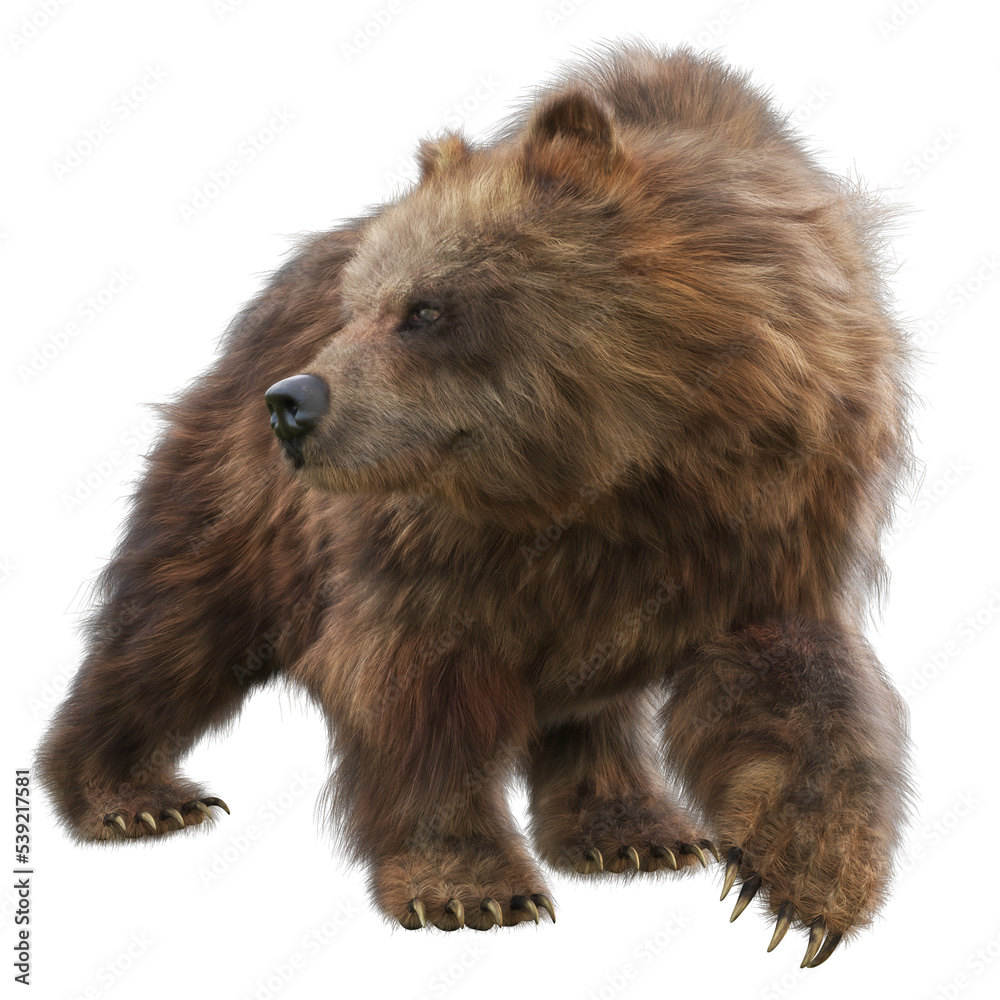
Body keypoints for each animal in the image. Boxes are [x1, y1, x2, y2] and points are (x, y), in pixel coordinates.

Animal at [36, 42, 913, 969]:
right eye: (357, 306)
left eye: (424, 308)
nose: (294, 402)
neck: (620, 471)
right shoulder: (429, 544)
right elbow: (418, 689)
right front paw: (470, 886)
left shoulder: (777, 508)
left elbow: (795, 679)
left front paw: (802, 887)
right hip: (242, 493)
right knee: (179, 621)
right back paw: (131, 792)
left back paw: (634, 829)